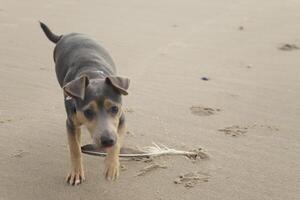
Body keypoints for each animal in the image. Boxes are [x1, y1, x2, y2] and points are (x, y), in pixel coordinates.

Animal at [39, 21, 129, 185]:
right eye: (88, 112)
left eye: (114, 108)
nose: (107, 141)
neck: (92, 74)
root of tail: (65, 35)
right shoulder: (70, 122)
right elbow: (74, 148)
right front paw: (76, 172)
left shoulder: (122, 120)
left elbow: (118, 143)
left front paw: (111, 166)